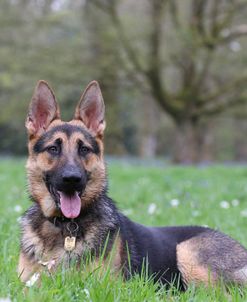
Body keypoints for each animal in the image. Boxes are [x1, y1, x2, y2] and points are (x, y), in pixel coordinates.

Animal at [18, 81, 247, 290]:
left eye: (84, 149)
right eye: (53, 149)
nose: (72, 179)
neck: (65, 226)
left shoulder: (102, 287)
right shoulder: (26, 284)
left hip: (187, 253)